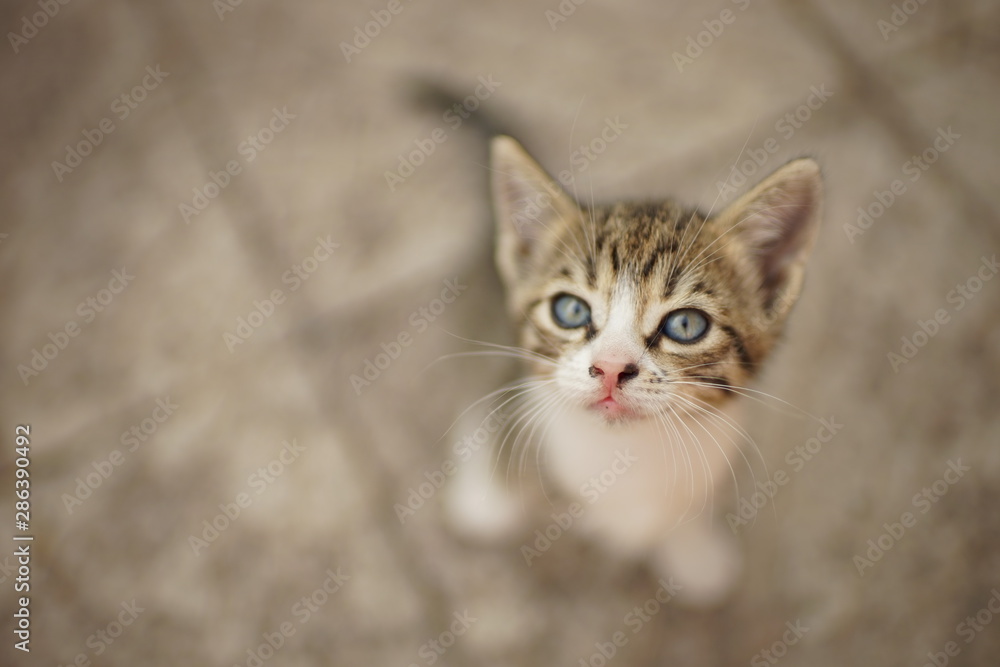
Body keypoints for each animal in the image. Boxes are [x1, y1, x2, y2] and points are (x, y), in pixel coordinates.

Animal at [446, 136, 820, 604]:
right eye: (570, 310)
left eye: (685, 325)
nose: (610, 367)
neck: (624, 453)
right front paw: (488, 502)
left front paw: (692, 551)